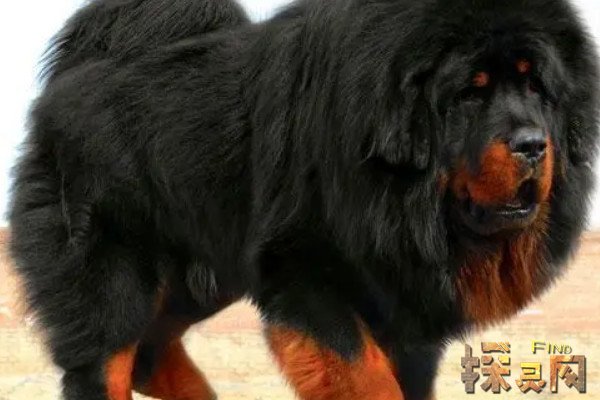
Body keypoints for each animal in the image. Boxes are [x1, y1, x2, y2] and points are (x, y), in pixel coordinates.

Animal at [9, 0, 599, 399]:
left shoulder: (405, 303)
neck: (401, 199)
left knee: (150, 355)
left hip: (199, 277)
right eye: (471, 92)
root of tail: (70, 79)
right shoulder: (308, 273)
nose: (533, 144)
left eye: (536, 87)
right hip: (114, 277)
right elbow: (365, 374)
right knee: (104, 362)